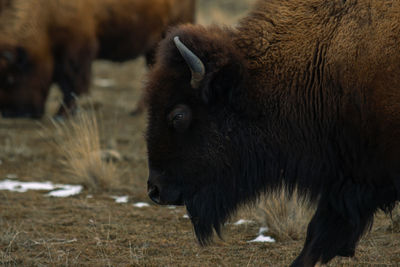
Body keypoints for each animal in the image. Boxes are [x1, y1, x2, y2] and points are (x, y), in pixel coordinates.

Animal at [0, 0, 195, 118]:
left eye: (12, 77)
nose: (10, 112)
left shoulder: (76, 48)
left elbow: (72, 84)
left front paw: (62, 114)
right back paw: (139, 110)